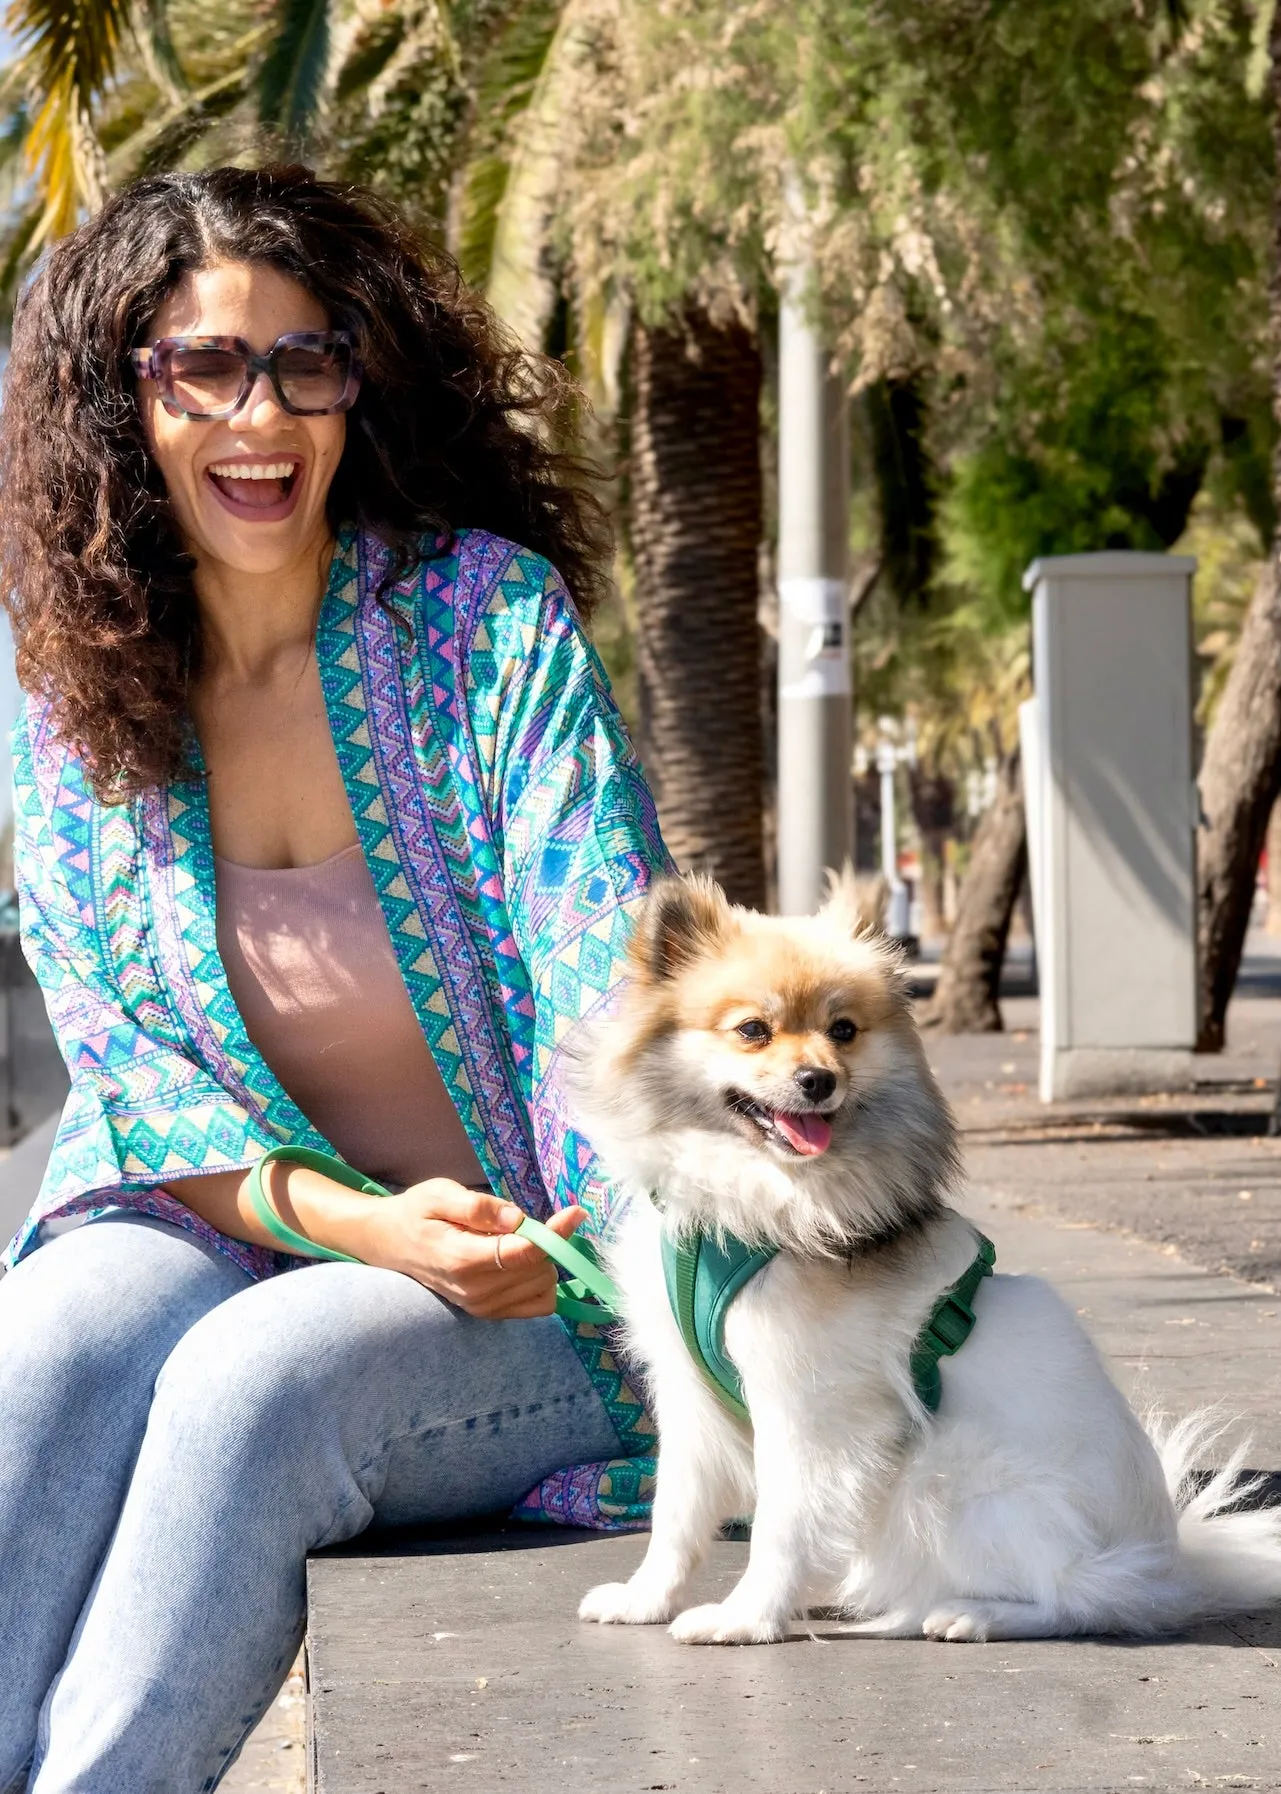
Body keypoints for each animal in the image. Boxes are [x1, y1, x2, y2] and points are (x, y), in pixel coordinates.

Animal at [563, 875, 1277, 1643]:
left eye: (843, 1031)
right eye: (753, 1030)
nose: (819, 1080)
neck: (759, 1202)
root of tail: (1170, 1563)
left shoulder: (809, 1407)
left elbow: (780, 1527)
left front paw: (747, 1618)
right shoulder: (690, 1394)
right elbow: (675, 1515)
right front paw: (645, 1600)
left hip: (952, 1469)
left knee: (1079, 1595)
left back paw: (972, 1612)